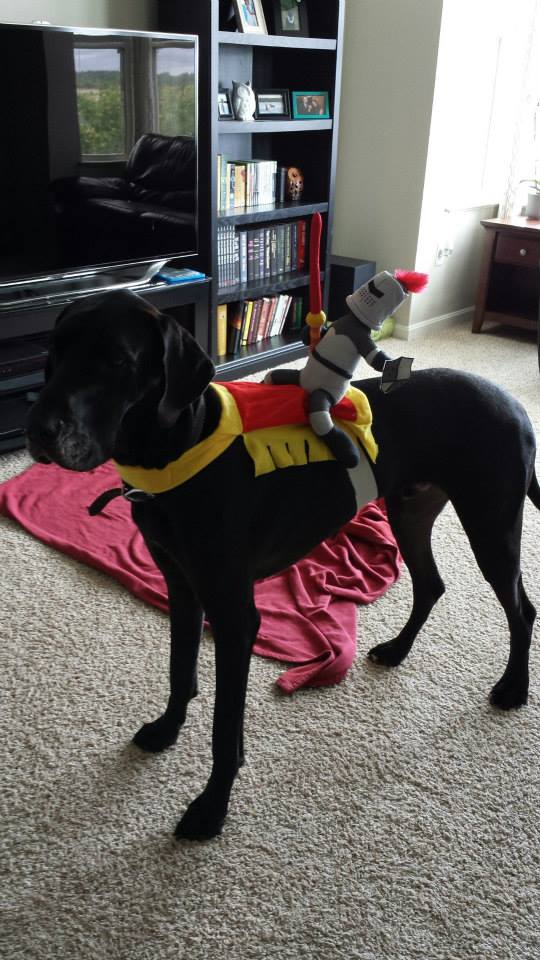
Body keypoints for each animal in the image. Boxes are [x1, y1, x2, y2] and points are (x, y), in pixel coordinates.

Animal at [26, 290, 540, 840]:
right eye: (53, 351)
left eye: (117, 362)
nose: (38, 431)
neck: (177, 451)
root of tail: (513, 404)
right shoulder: (181, 587)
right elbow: (178, 671)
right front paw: (167, 730)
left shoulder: (235, 615)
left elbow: (225, 728)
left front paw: (211, 808)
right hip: (410, 511)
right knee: (431, 584)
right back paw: (398, 650)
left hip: (491, 523)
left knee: (521, 608)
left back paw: (513, 688)